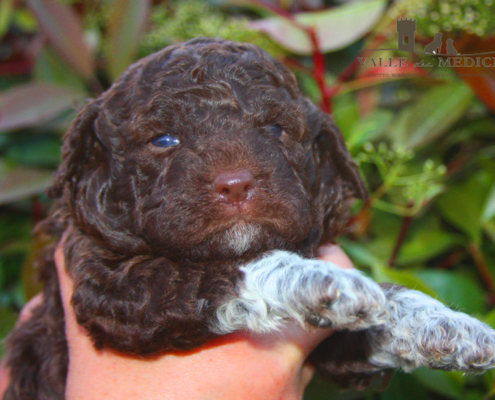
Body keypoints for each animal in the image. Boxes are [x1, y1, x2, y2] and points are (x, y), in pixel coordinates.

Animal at [3, 38, 495, 400]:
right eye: (163, 139)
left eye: (276, 130)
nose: (237, 185)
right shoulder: (110, 284)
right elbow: (225, 270)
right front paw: (322, 281)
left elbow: (381, 311)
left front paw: (450, 326)